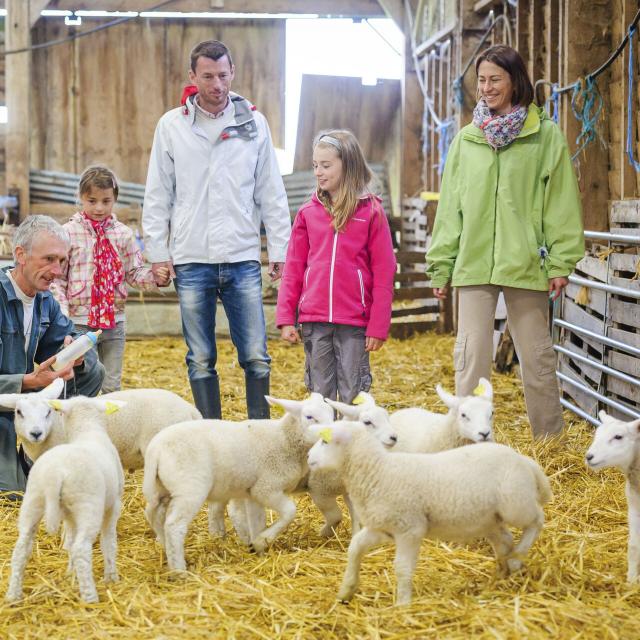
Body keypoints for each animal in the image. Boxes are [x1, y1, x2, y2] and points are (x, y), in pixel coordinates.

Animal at [4, 396, 125, 604]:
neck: (87, 429)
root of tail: (56, 473)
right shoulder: (113, 505)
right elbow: (108, 541)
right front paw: (111, 577)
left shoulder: (70, 516)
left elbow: (69, 540)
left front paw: (71, 573)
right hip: (88, 506)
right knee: (81, 549)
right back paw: (90, 597)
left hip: (33, 501)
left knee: (21, 549)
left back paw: (13, 595)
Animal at [141, 392, 336, 572]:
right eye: (309, 417)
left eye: (332, 414)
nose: (332, 435)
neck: (284, 440)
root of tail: (156, 449)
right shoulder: (266, 488)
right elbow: (290, 511)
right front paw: (262, 541)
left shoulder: (252, 493)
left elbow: (257, 522)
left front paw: (258, 549)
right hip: (190, 488)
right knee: (174, 525)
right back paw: (179, 570)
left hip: (161, 488)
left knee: (153, 514)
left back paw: (166, 550)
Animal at [308, 422, 552, 604]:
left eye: (326, 441)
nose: (309, 457)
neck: (378, 472)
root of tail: (525, 461)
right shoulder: (383, 528)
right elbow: (355, 547)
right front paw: (346, 590)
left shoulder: (410, 529)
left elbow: (402, 568)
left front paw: (402, 604)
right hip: (490, 518)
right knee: (505, 539)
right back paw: (504, 571)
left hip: (516, 503)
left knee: (537, 521)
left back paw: (517, 559)